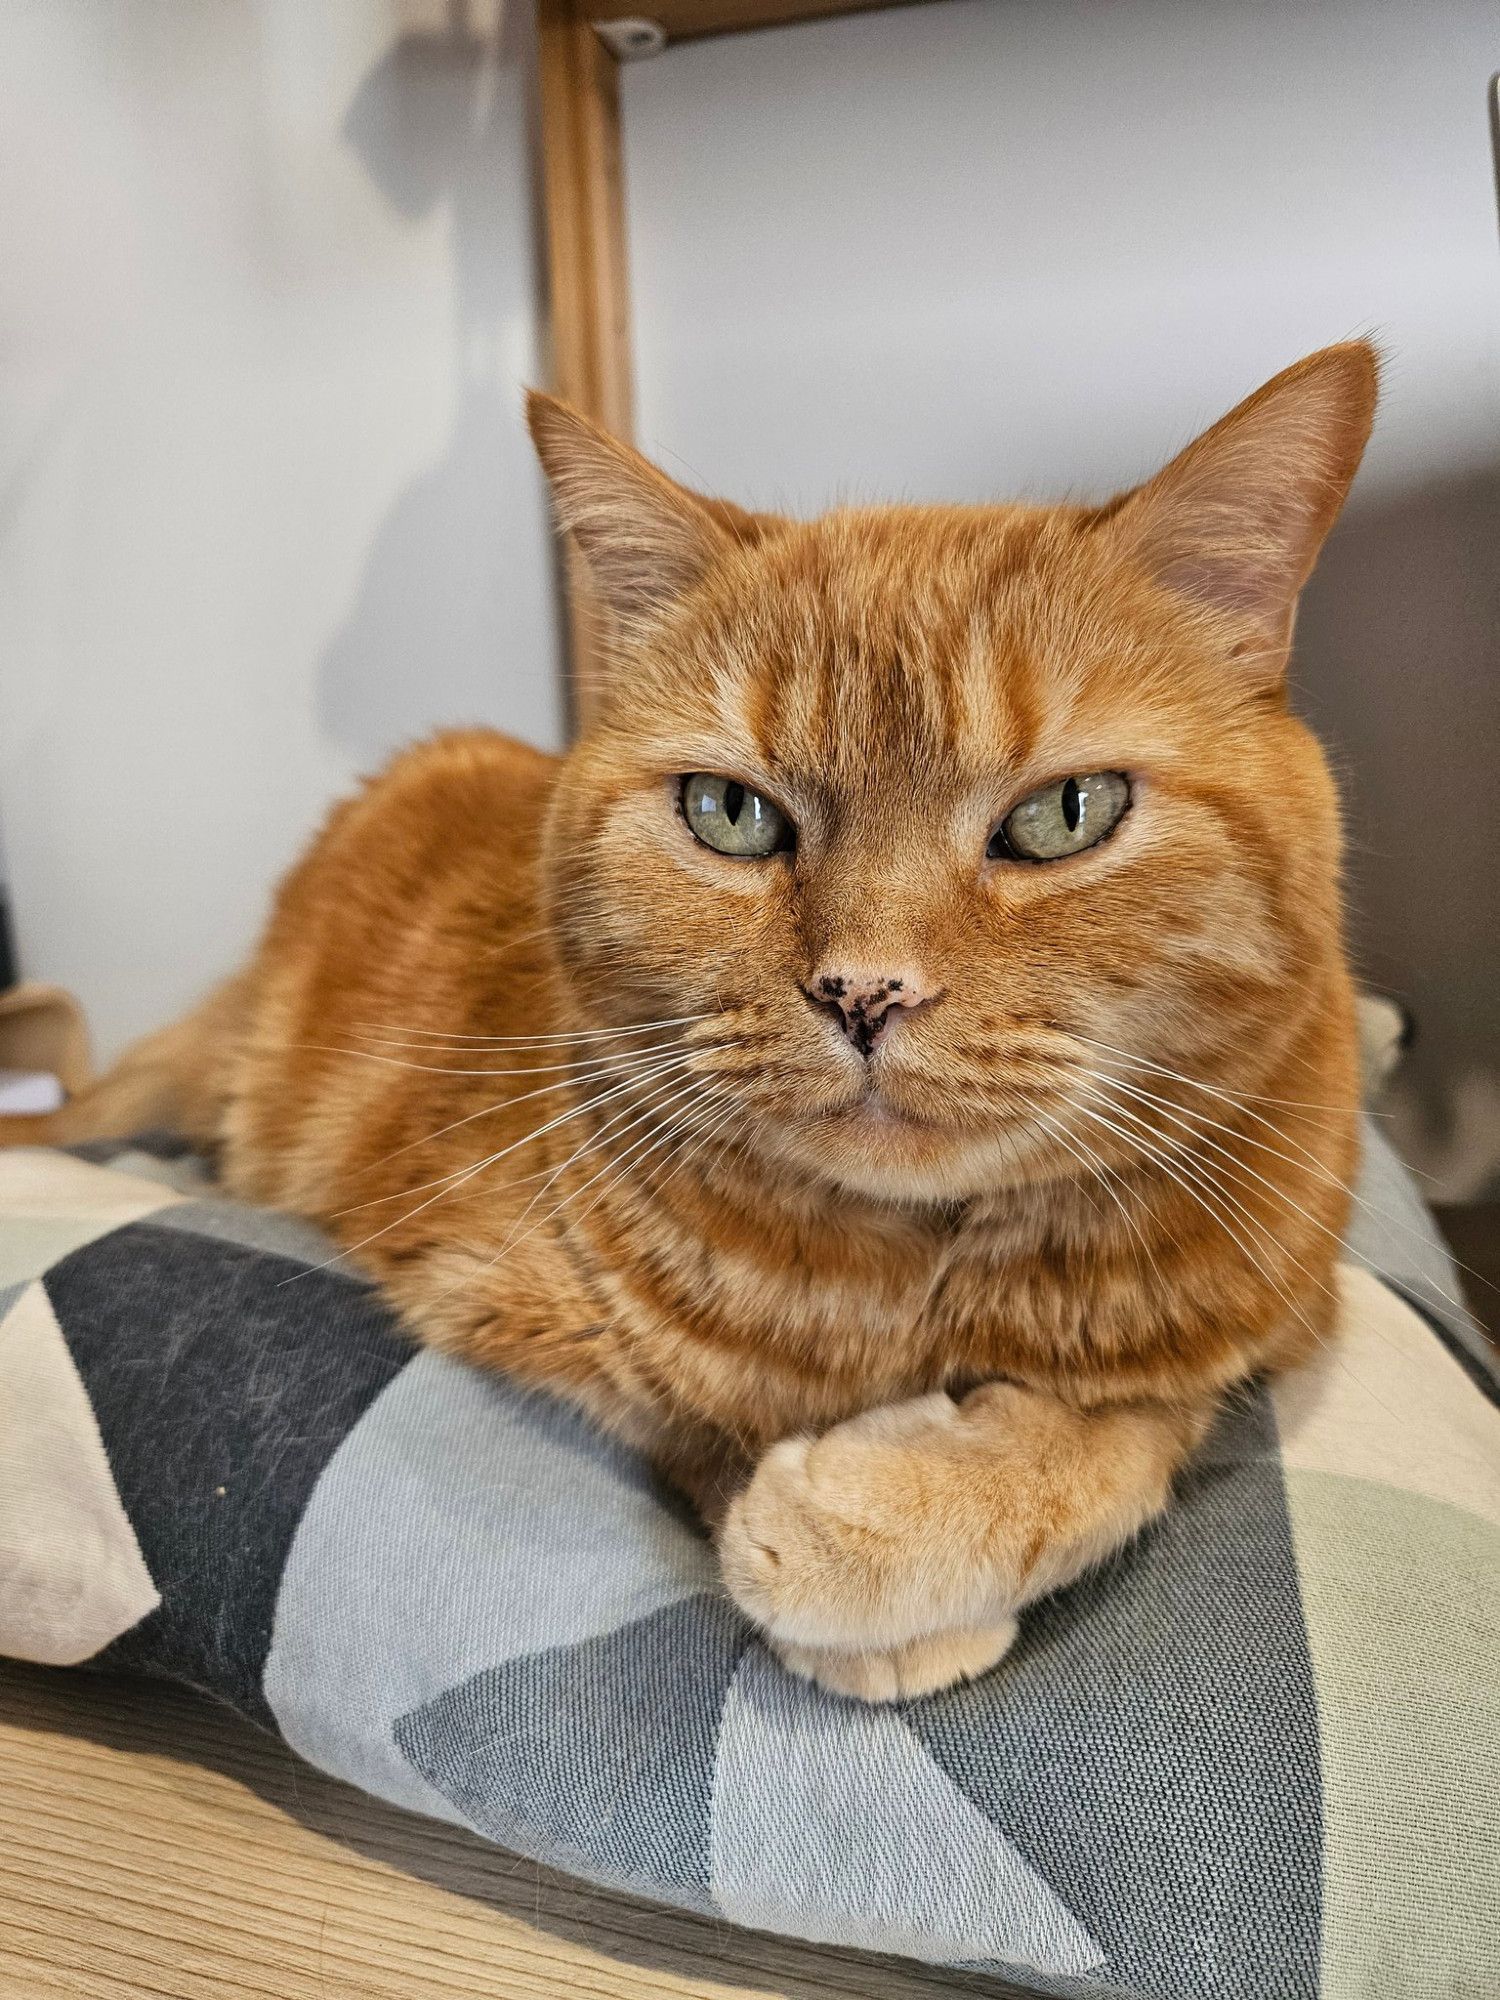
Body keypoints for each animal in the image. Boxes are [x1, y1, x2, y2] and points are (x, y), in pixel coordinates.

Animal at [8, 344, 1376, 1704]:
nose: (864, 992)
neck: (921, 1280)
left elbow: (1127, 1440)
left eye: (1065, 813)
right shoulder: (513, 1297)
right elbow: (715, 1413)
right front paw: (850, 1560)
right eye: (731, 812)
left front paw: (885, 1519)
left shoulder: (1261, 1334)